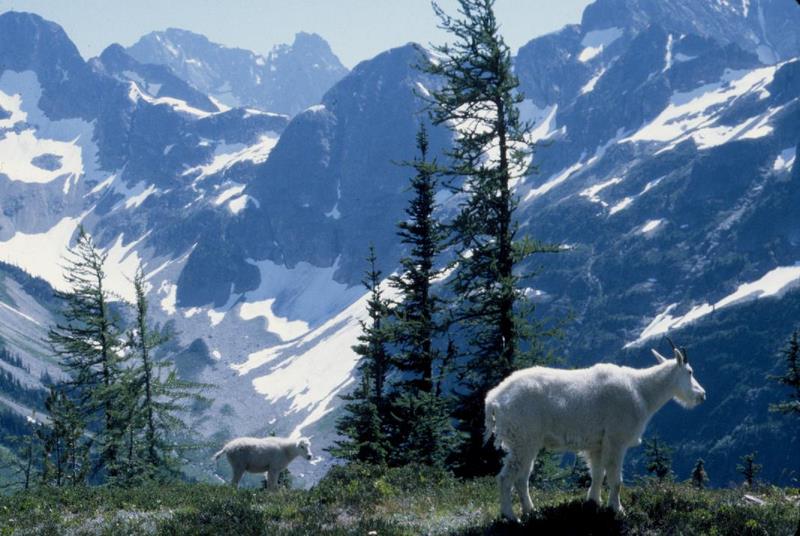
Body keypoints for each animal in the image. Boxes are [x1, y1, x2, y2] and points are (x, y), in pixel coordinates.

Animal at [484, 342, 704, 520]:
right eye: (690, 371)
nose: (702, 395)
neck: (642, 391)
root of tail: (494, 400)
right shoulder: (616, 440)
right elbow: (615, 479)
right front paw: (617, 509)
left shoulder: (597, 444)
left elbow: (598, 474)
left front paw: (593, 502)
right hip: (522, 439)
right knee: (506, 477)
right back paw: (510, 516)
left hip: (527, 443)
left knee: (522, 478)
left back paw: (531, 511)